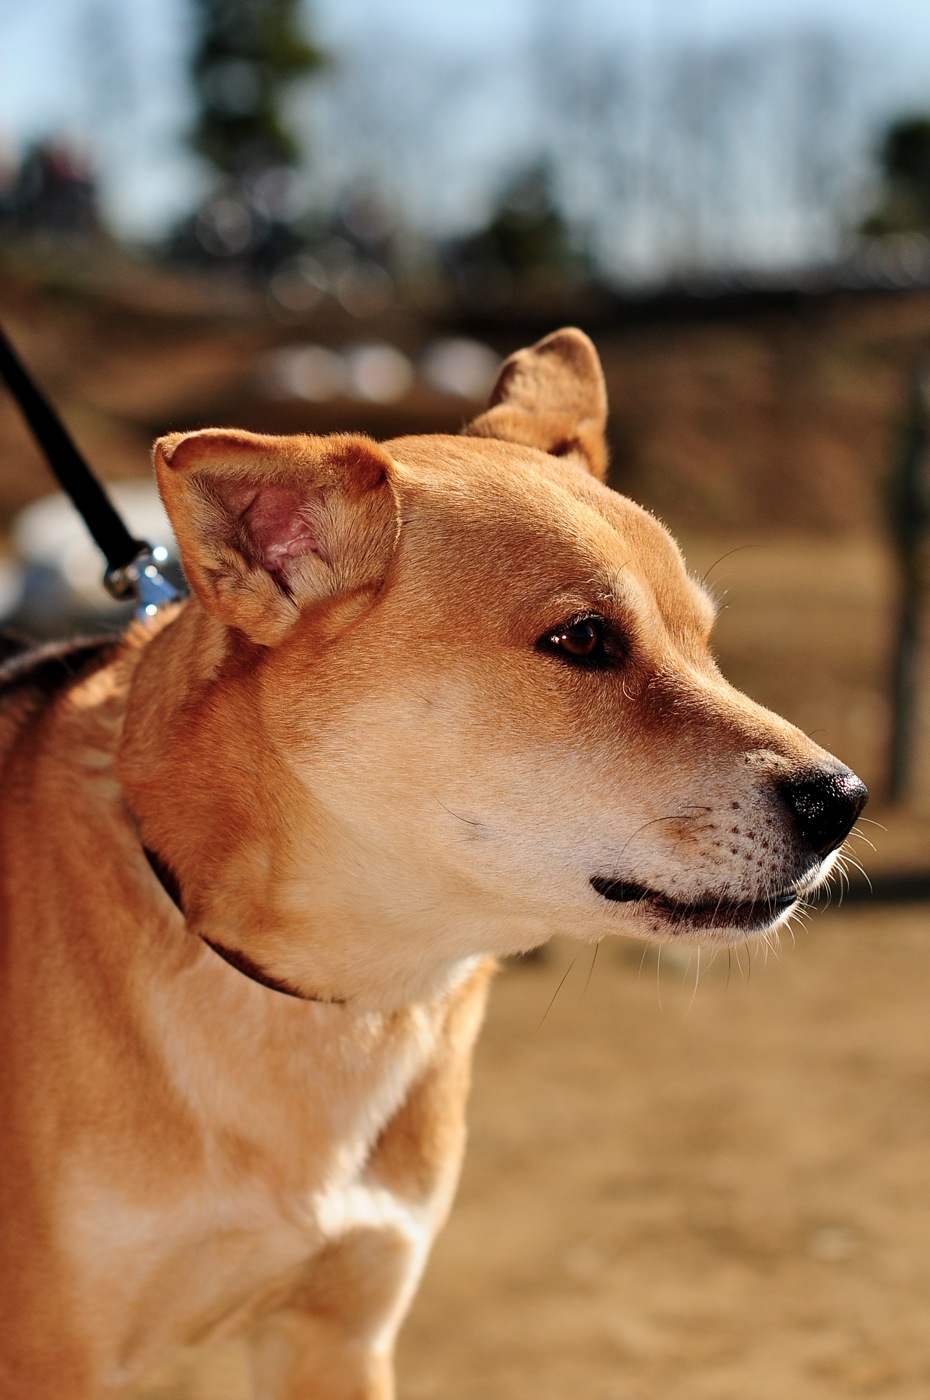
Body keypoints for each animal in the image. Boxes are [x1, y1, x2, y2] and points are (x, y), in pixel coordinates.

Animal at [0, 324, 862, 1388]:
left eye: (703, 641)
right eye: (584, 639)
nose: (844, 801)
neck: (342, 1001)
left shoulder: (342, 1332)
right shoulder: (54, 1357)